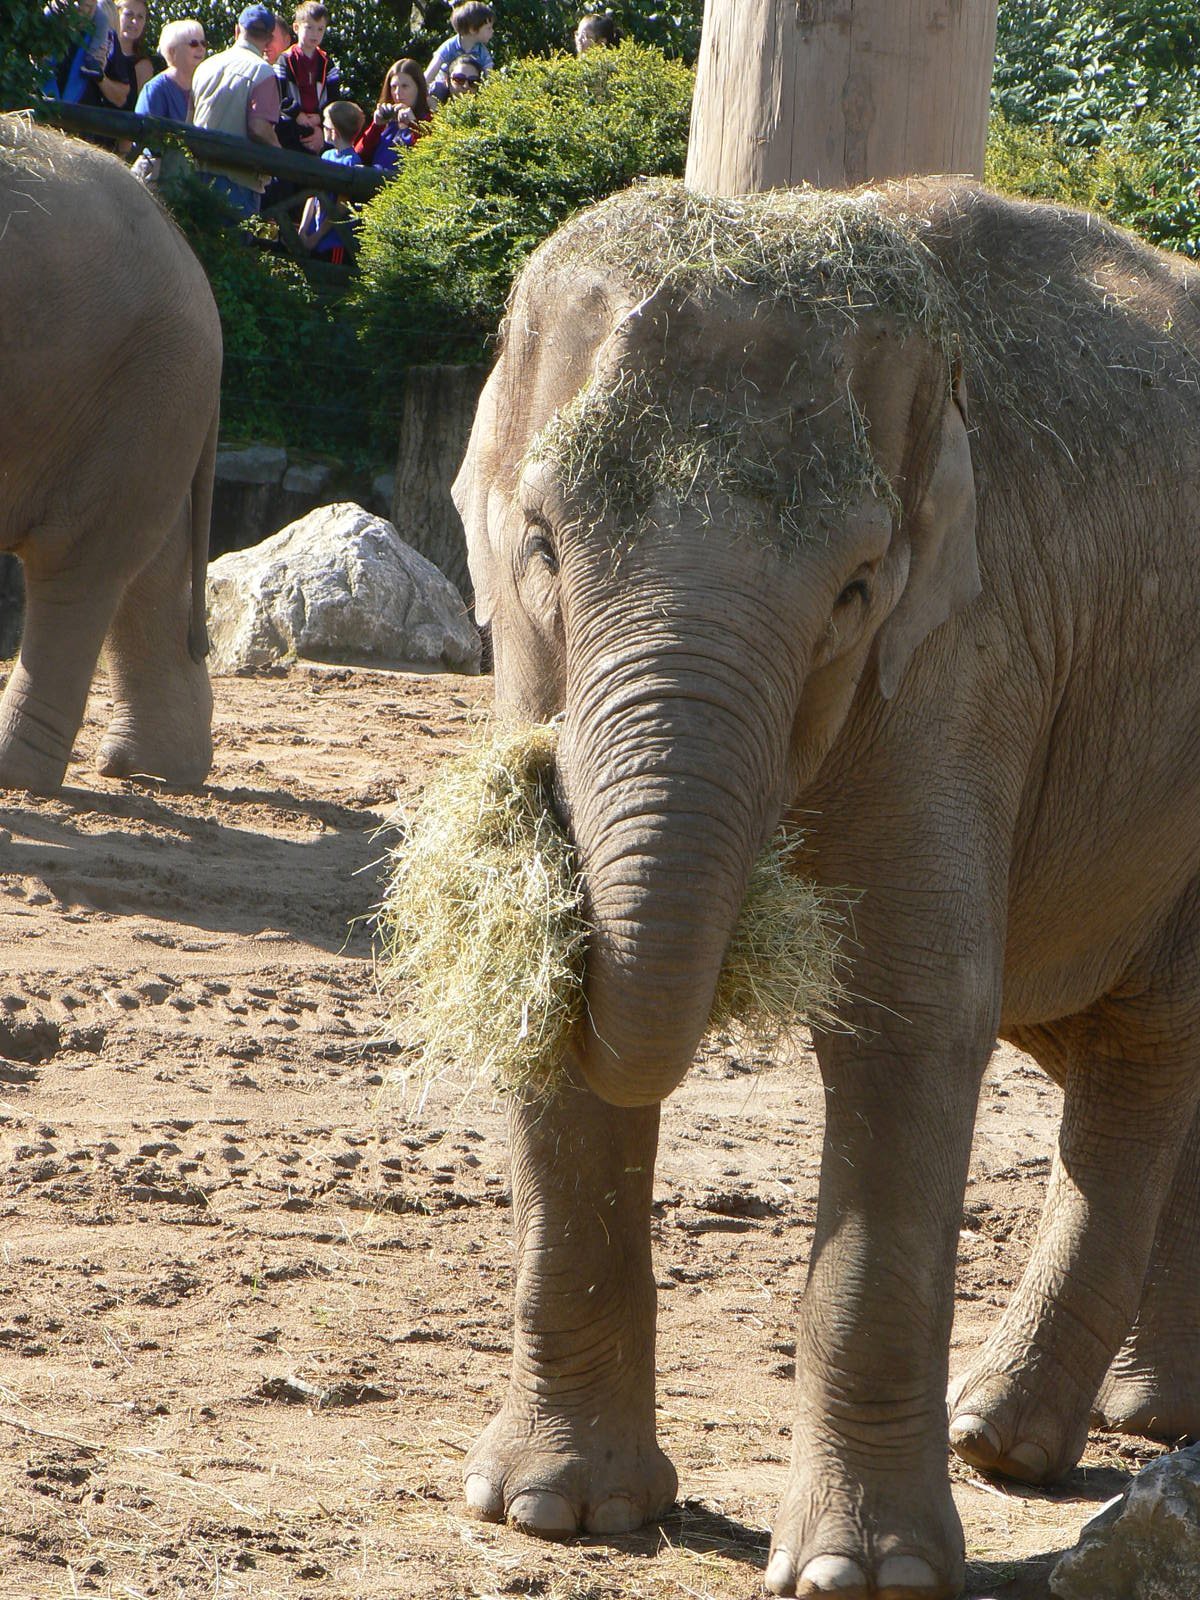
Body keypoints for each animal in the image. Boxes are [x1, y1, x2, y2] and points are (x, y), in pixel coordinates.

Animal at [0, 117, 220, 793]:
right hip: (146, 399)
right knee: (152, 560)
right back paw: (156, 770)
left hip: (138, 384)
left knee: (73, 565)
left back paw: (18, 776)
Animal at [450, 175, 1200, 1600]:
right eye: (542, 544)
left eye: (854, 589)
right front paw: (555, 1513)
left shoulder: (967, 653)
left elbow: (914, 1019)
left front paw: (865, 1574)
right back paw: (1121, 1418)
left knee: (1142, 1056)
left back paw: (1003, 1437)